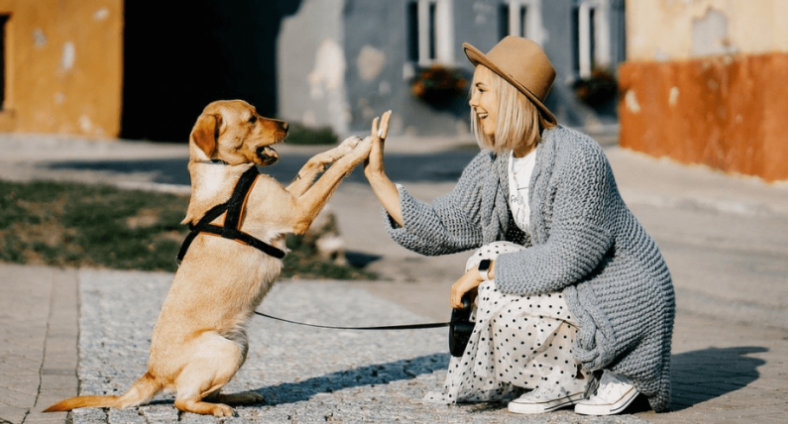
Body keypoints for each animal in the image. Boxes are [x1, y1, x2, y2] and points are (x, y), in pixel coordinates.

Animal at [43, 101, 390, 416]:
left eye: (258, 112)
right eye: (251, 119)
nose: (288, 126)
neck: (223, 169)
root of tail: (152, 374)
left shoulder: (291, 199)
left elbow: (312, 162)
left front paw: (345, 145)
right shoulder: (297, 212)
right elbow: (335, 173)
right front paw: (368, 146)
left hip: (240, 344)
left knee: (203, 392)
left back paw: (240, 397)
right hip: (227, 350)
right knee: (183, 399)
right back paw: (217, 408)